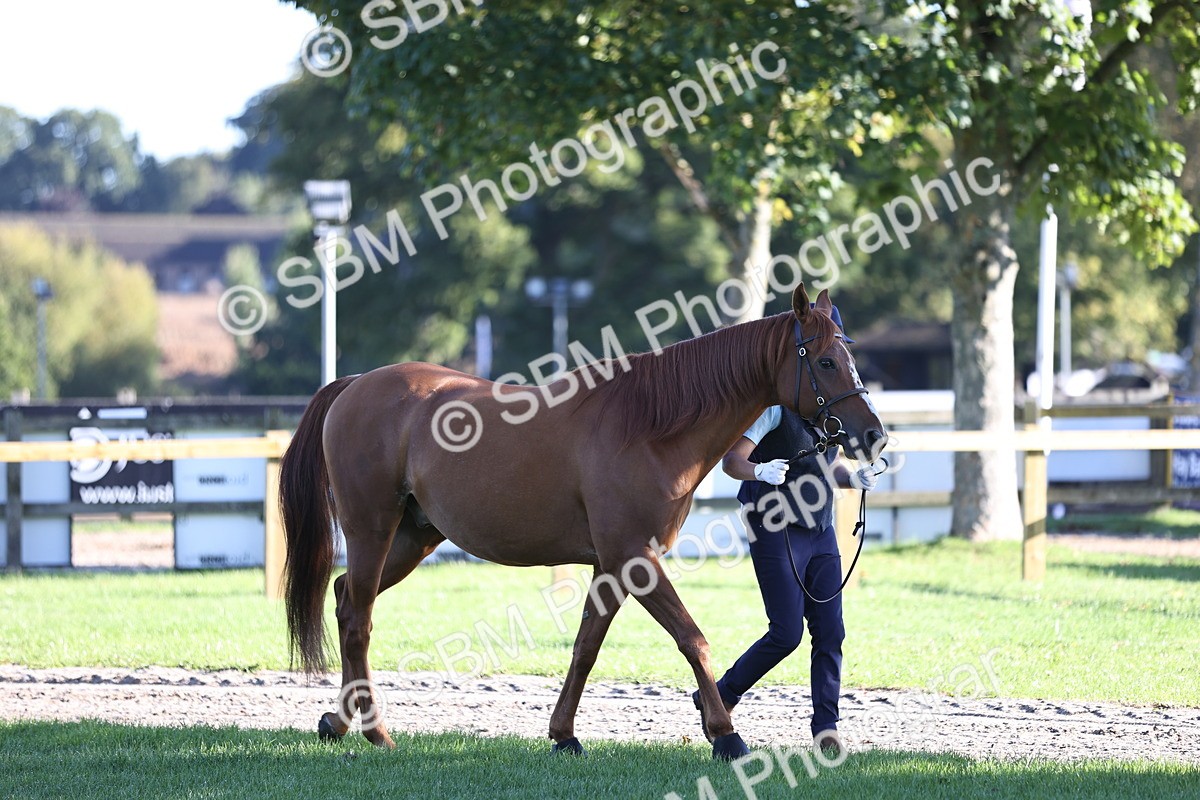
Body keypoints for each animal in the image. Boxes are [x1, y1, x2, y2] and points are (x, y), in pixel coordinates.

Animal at [279, 283, 887, 761]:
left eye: (850, 357)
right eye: (826, 362)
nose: (873, 435)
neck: (649, 426)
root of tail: (356, 384)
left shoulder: (611, 565)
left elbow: (586, 646)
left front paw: (564, 735)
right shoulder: (634, 557)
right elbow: (692, 639)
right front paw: (726, 736)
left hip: (414, 536)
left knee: (345, 600)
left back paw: (339, 721)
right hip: (372, 529)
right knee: (358, 618)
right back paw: (376, 731)